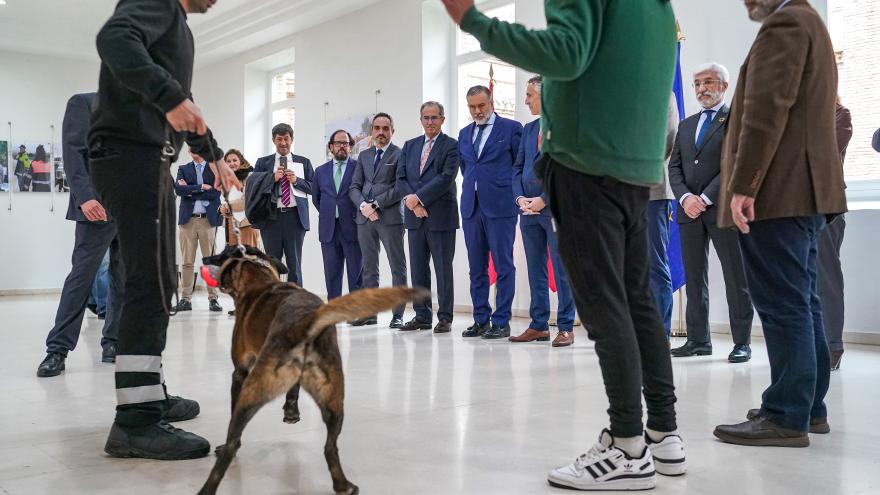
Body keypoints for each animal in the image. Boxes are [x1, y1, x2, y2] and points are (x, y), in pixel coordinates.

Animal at [197, 245, 430, 495]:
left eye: (220, 255)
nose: (205, 258)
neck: (259, 277)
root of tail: (306, 321)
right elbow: (294, 390)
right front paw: (291, 412)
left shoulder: (239, 373)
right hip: (334, 401)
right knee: (330, 447)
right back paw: (343, 485)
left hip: (251, 393)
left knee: (231, 446)